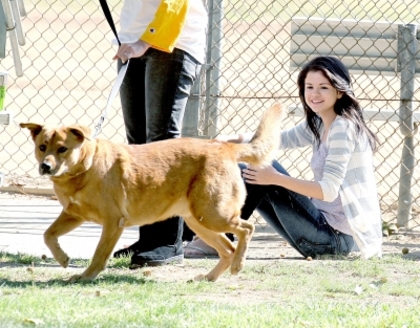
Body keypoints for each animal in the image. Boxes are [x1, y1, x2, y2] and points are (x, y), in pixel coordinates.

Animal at [19, 104, 282, 282]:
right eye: (42, 147)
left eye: (62, 149)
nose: (46, 167)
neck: (85, 167)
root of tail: (225, 146)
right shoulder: (73, 215)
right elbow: (48, 235)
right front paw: (63, 258)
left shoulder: (113, 222)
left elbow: (99, 254)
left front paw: (87, 276)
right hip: (199, 221)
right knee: (227, 249)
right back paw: (209, 277)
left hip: (214, 215)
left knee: (247, 229)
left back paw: (238, 265)